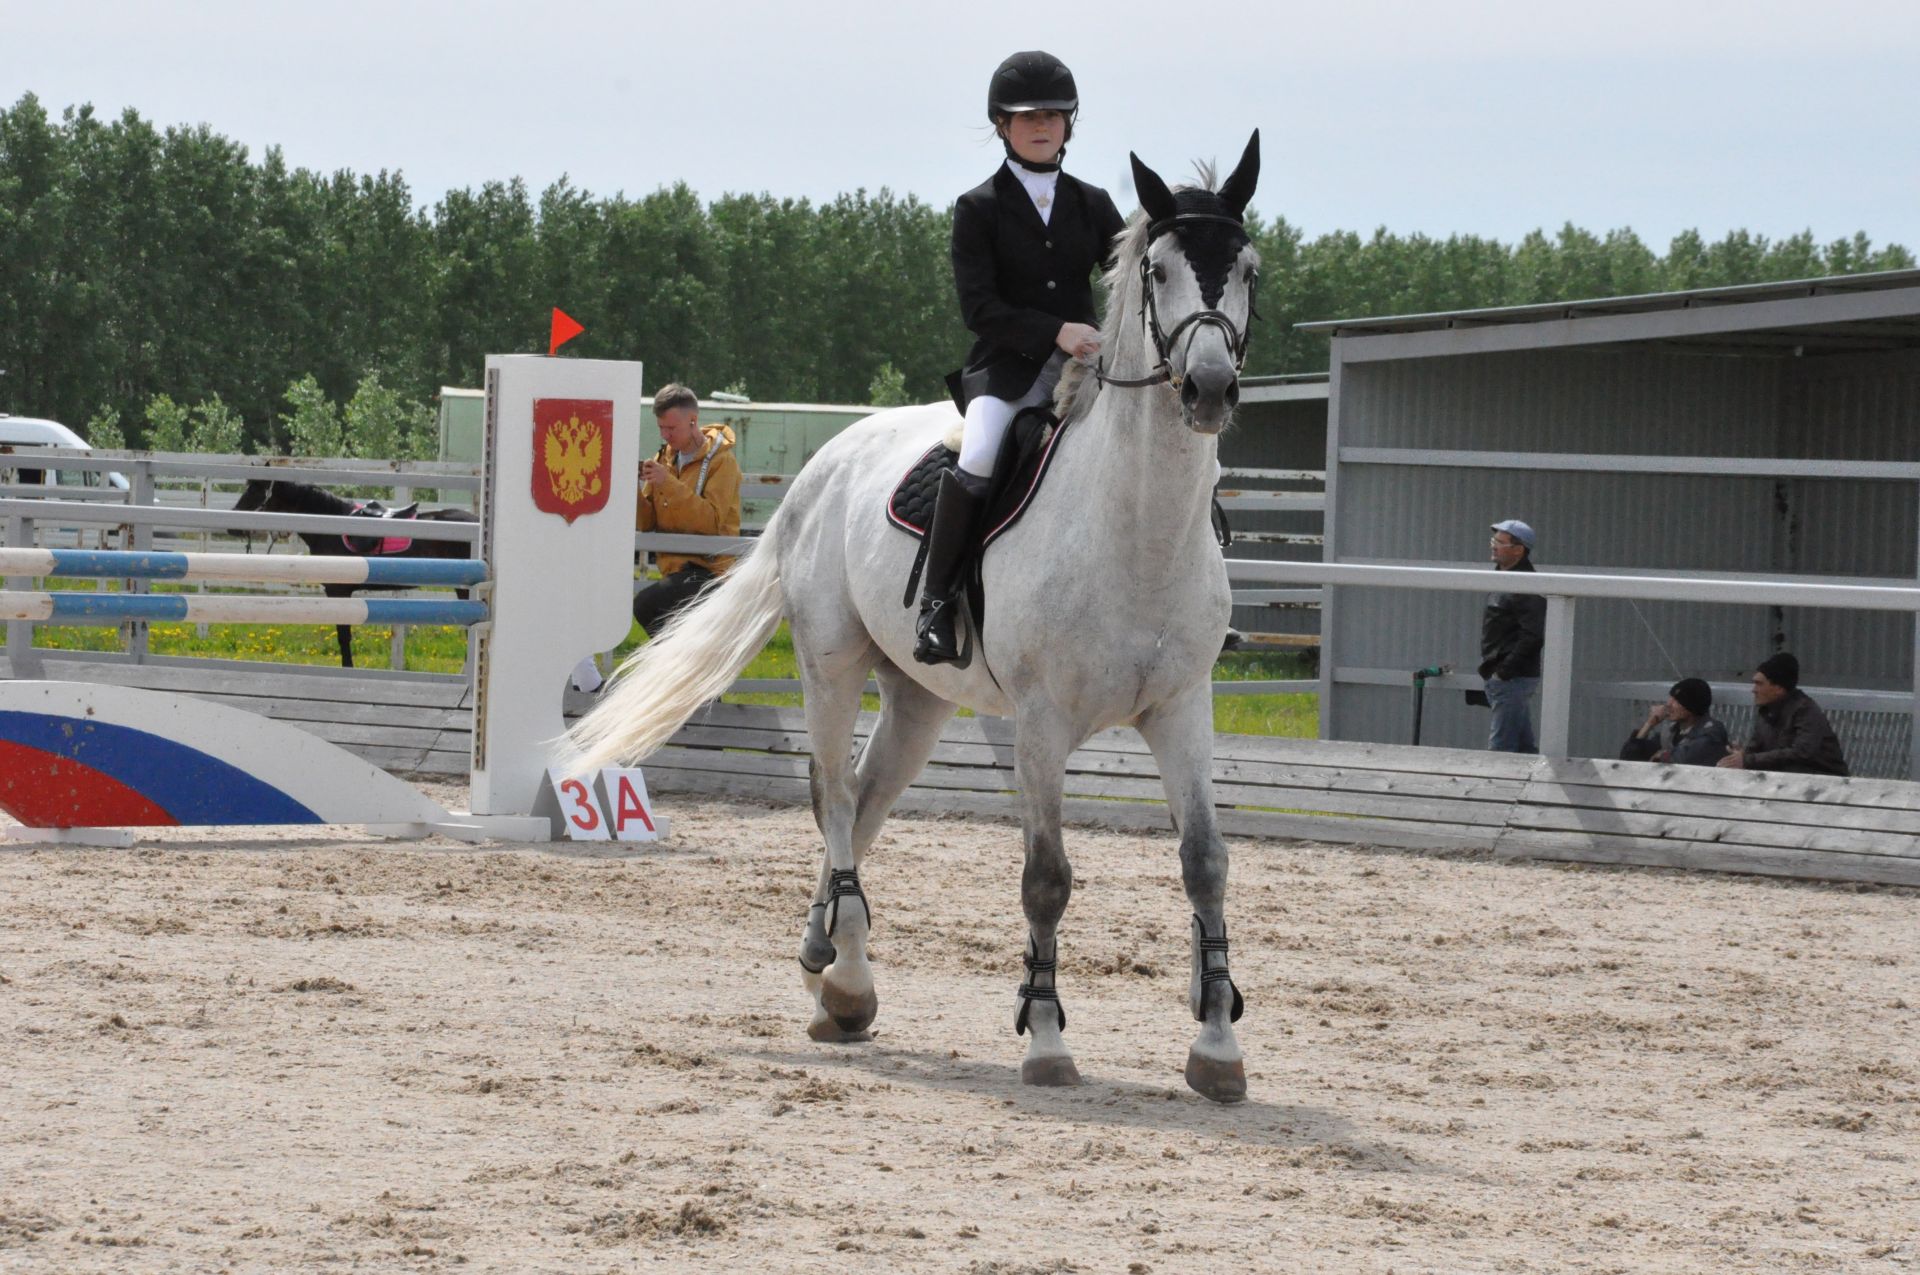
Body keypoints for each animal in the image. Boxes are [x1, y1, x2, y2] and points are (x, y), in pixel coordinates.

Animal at [568, 134, 1259, 1098]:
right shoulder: (1042, 723)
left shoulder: (1182, 708)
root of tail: (823, 465)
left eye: (1248, 270)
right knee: (831, 792)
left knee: (863, 802)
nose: (1207, 390)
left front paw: (1218, 1046)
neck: (1136, 527)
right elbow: (1046, 877)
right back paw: (851, 981)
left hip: (920, 699)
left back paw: (827, 968)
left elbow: (1206, 864)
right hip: (831, 663)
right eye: (1158, 271)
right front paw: (1046, 1039)